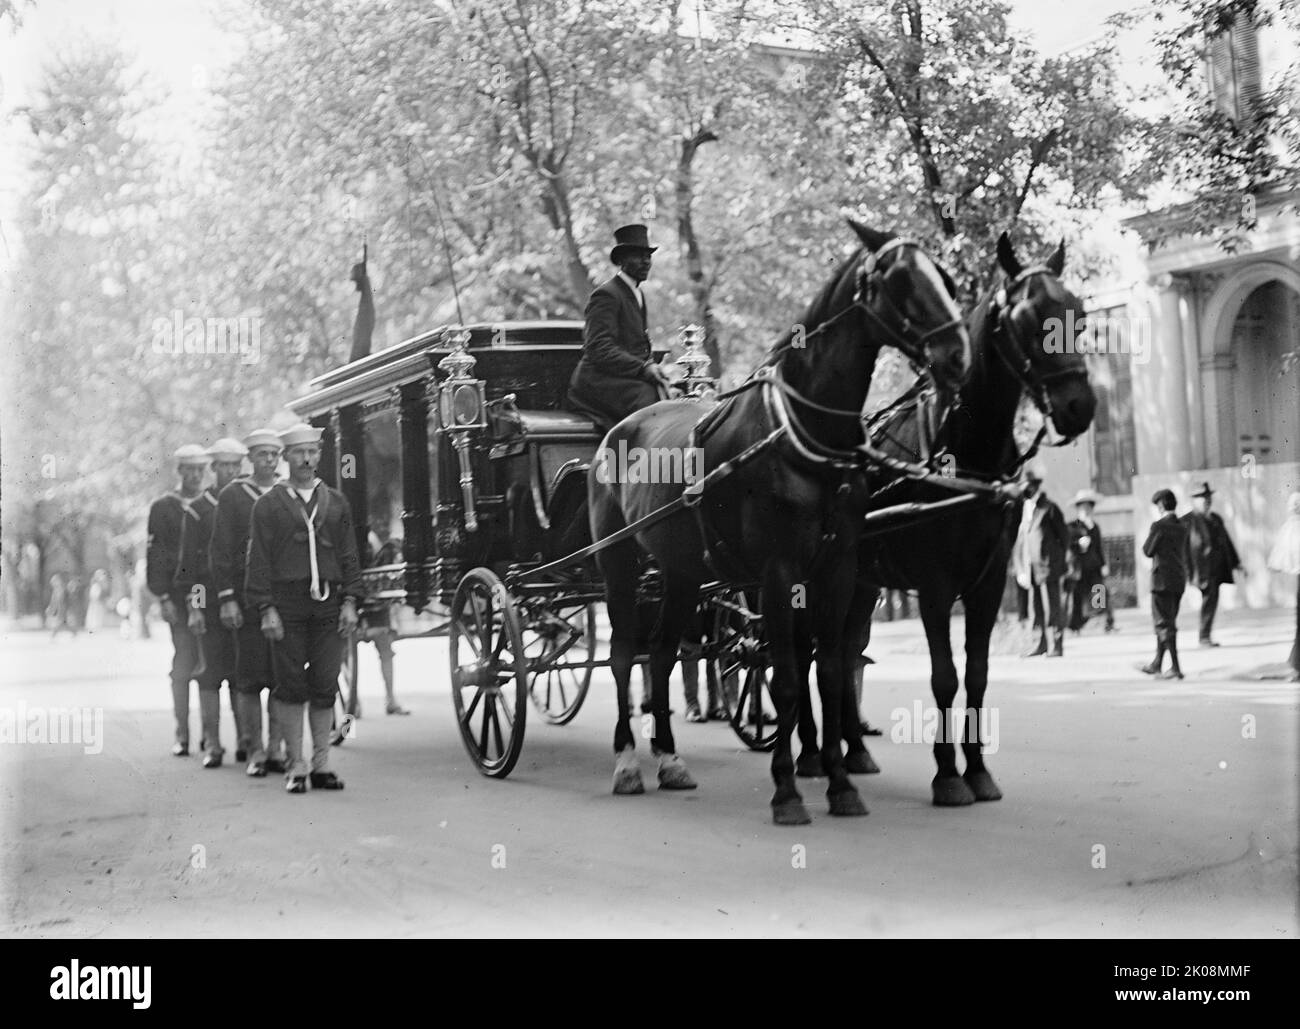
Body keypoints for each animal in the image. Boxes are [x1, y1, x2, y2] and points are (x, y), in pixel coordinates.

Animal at [587, 220, 967, 826]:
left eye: (943, 276)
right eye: (900, 280)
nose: (956, 356)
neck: (804, 436)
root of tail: (613, 433)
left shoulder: (838, 568)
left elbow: (830, 673)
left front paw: (840, 783)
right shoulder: (777, 571)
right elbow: (786, 678)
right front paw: (787, 789)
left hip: (681, 573)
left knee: (665, 654)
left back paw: (668, 757)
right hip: (617, 563)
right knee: (626, 654)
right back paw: (627, 762)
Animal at [795, 232, 1092, 805]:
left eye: (1078, 312)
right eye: (1028, 318)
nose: (1079, 406)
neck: (966, 454)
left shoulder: (990, 582)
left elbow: (976, 674)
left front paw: (977, 768)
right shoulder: (934, 585)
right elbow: (944, 677)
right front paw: (948, 773)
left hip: (860, 581)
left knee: (844, 653)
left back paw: (852, 750)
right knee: (802, 655)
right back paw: (811, 755)